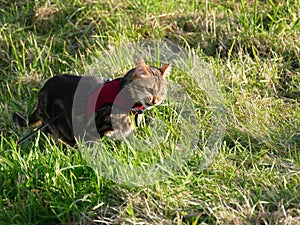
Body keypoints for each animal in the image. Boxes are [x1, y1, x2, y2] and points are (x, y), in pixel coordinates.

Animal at [12, 58, 171, 146]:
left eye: (162, 92)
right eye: (149, 89)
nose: (156, 101)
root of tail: (42, 92)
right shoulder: (91, 127)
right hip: (61, 124)